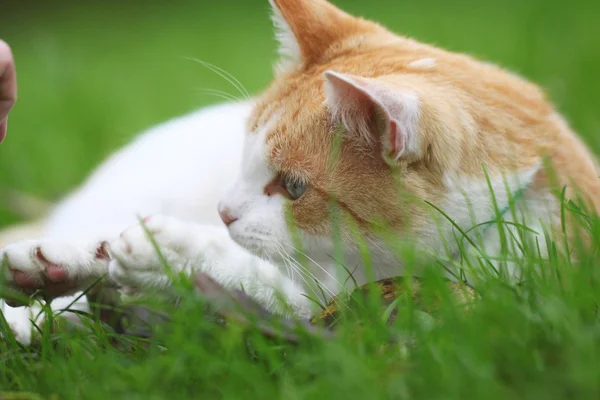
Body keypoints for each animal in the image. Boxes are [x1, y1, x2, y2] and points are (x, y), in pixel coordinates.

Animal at [1, 0, 600, 346]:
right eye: (244, 154)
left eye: (293, 187)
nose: (223, 212)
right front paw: (70, 259)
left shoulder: (330, 314)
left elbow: (253, 281)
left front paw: (164, 251)